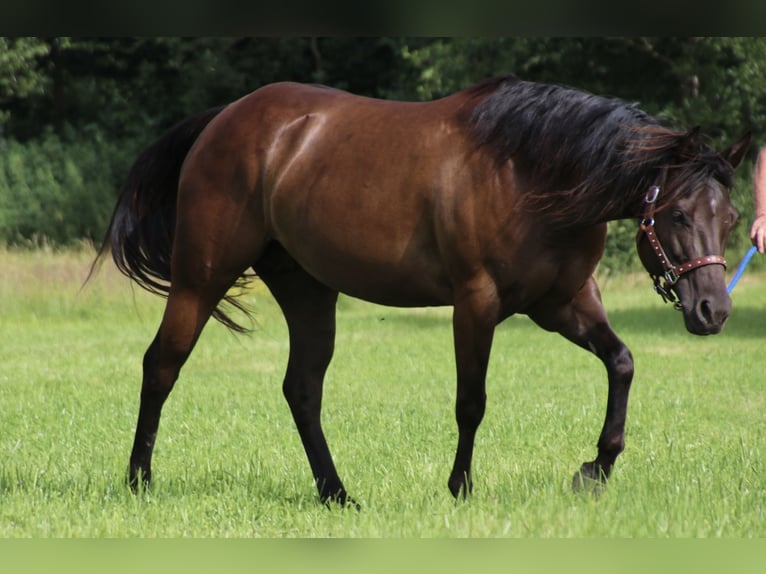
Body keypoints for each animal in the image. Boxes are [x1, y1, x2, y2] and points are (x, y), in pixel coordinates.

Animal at [94, 74, 752, 506]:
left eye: (731, 217)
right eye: (677, 215)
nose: (713, 310)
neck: (531, 171)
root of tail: (223, 118)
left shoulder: (561, 303)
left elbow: (622, 363)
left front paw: (595, 469)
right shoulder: (477, 303)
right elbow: (472, 401)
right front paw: (460, 487)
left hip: (308, 290)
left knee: (301, 389)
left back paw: (337, 494)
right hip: (201, 277)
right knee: (162, 365)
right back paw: (139, 482)